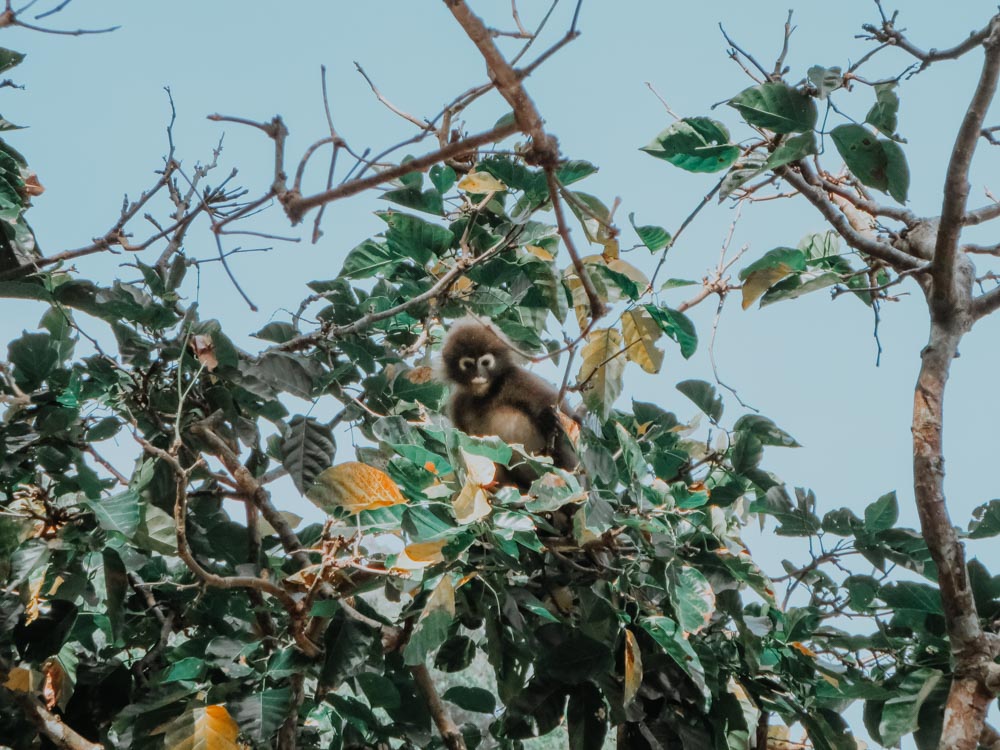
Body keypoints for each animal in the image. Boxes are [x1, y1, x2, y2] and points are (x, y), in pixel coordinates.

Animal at [438, 314, 580, 490]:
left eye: (485, 363)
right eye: (468, 364)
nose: (478, 375)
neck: (486, 394)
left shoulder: (515, 378)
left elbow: (572, 419)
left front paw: (550, 421)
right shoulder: (458, 402)